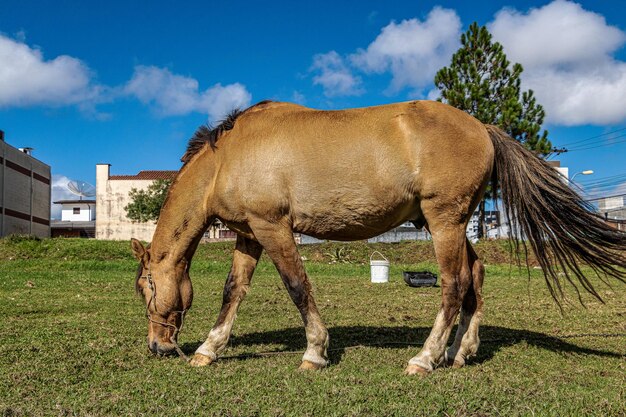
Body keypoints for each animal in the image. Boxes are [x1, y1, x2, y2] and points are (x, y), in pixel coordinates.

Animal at [129, 100, 620, 374]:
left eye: (143, 288)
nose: (157, 346)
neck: (227, 158)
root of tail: (483, 128)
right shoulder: (250, 233)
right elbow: (234, 291)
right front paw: (208, 350)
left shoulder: (273, 228)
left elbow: (297, 287)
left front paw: (315, 352)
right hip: (454, 223)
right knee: (476, 278)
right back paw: (459, 352)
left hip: (445, 221)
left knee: (454, 284)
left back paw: (425, 358)